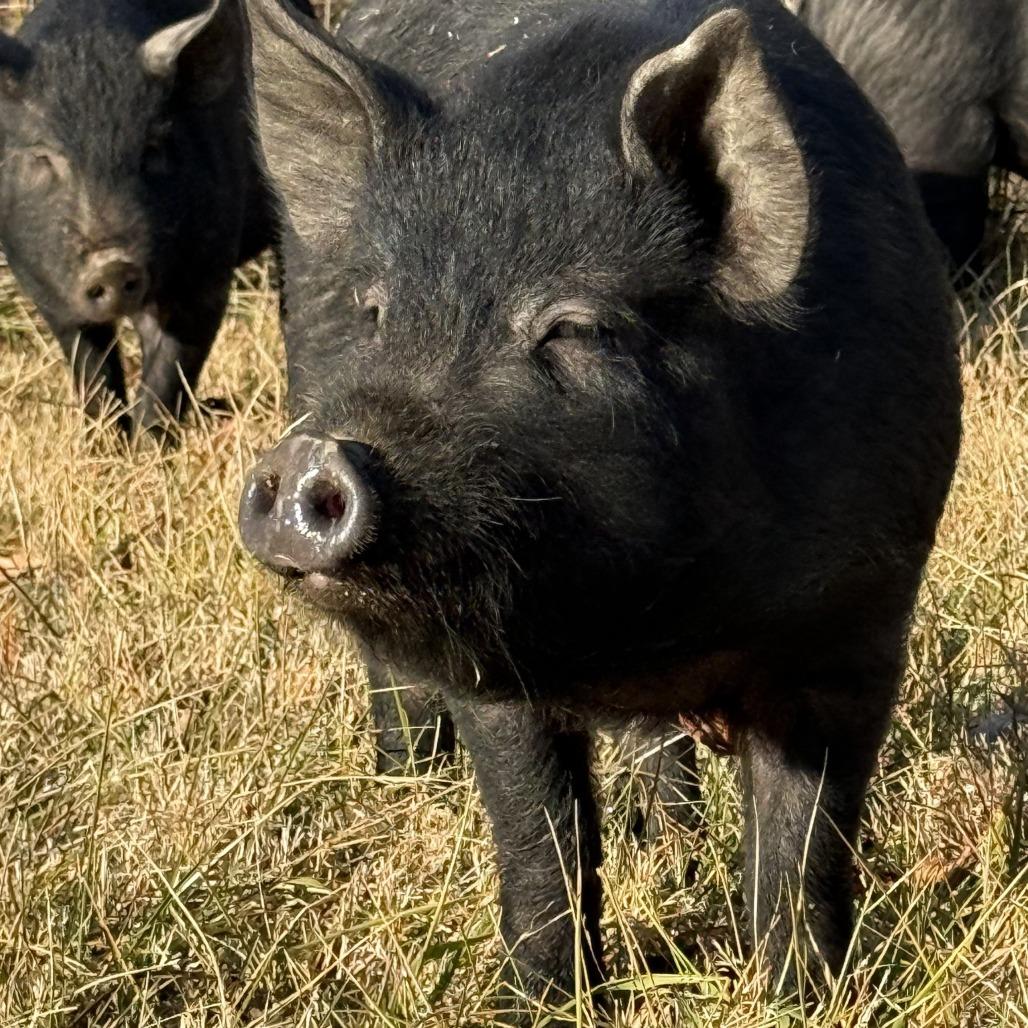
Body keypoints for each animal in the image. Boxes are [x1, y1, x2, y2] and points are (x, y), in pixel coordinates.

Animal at [0, 0, 313, 436]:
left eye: (151, 149)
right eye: (44, 157)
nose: (113, 265)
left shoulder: (206, 271)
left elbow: (174, 365)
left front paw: (147, 444)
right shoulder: (43, 287)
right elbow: (90, 366)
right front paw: (106, 442)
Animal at [239, 0, 962, 1011]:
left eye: (576, 328)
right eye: (378, 311)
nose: (317, 453)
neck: (650, 622)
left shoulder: (858, 621)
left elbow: (806, 846)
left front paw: (804, 1000)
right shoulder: (491, 673)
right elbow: (540, 844)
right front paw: (543, 1007)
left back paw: (671, 834)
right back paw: (405, 782)